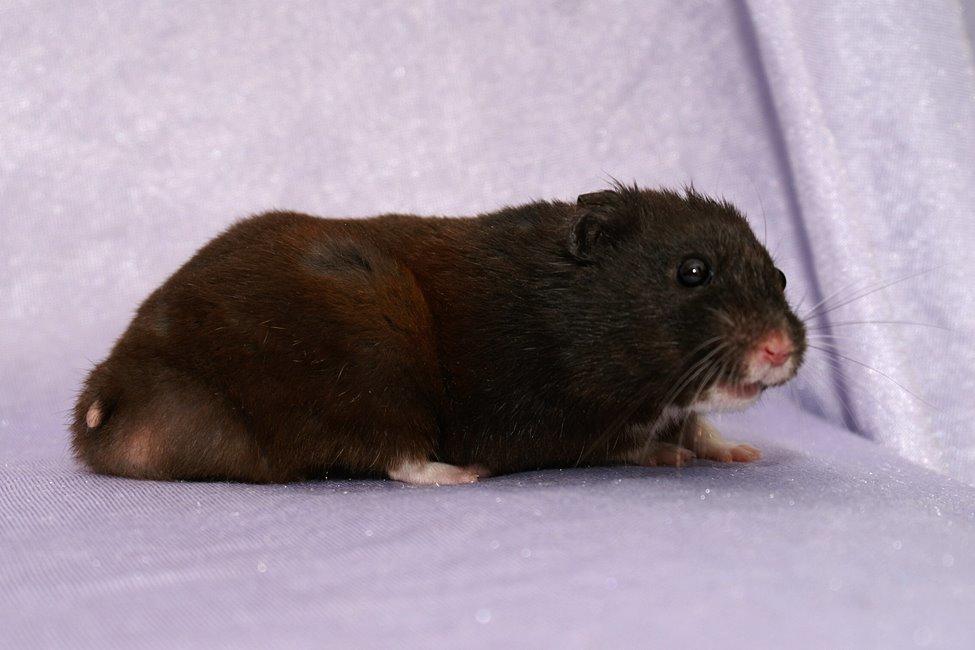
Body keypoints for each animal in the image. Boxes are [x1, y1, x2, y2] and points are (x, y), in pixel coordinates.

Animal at [71, 183, 806, 485]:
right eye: (691, 272)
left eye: (780, 276)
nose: (778, 350)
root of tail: (111, 388)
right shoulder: (558, 420)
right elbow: (629, 444)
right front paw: (672, 457)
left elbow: (699, 424)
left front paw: (741, 453)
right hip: (366, 374)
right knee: (393, 456)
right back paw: (462, 475)